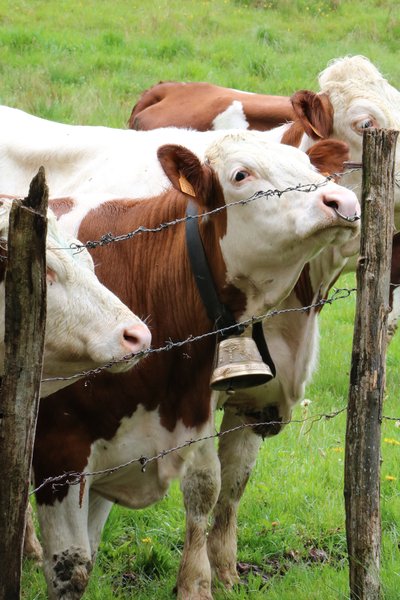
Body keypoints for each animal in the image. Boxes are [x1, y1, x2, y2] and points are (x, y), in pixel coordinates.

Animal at [27, 132, 360, 600]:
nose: (342, 200)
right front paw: (197, 583)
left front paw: (218, 576)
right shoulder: (60, 452)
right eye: (241, 175)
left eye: (313, 169)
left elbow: (221, 485)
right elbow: (73, 569)